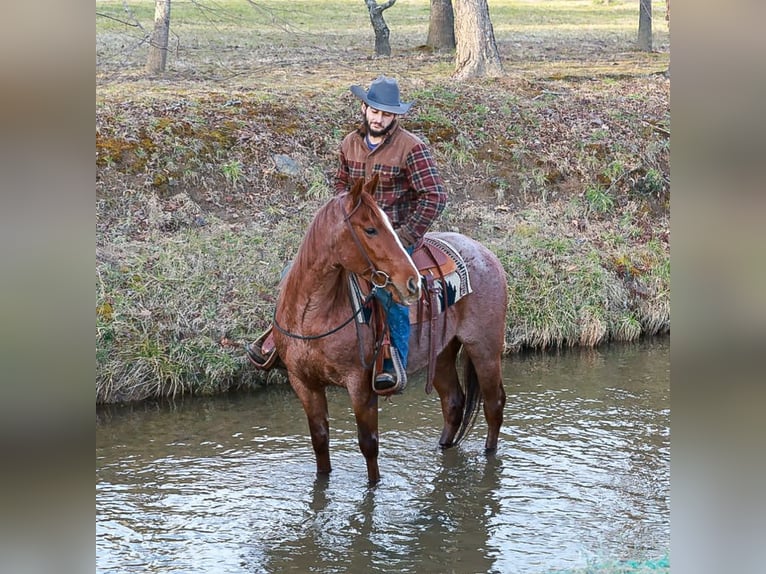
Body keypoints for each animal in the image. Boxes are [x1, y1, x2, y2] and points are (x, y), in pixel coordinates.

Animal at [272, 174, 508, 484]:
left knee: (494, 405)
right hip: (442, 352)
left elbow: (369, 444)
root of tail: (486, 253)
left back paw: (489, 456)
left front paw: (374, 487)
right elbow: (320, 442)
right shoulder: (303, 383)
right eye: (370, 229)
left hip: (484, 349)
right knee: (453, 404)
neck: (312, 315)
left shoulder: (360, 384)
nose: (413, 282)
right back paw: (442, 449)